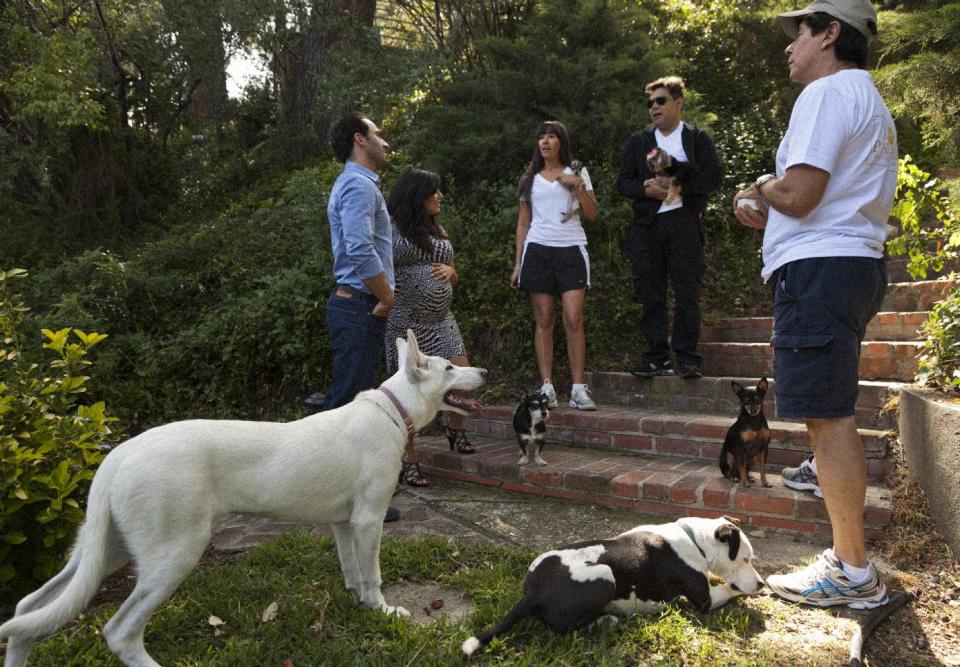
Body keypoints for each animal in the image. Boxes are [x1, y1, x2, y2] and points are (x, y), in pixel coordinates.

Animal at [0, 332, 488, 664]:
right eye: (448, 368)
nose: (484, 372)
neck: (392, 411)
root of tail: (117, 455)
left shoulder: (344, 523)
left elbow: (352, 570)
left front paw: (360, 605)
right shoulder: (369, 519)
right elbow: (374, 575)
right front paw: (383, 610)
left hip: (105, 551)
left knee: (27, 613)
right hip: (174, 554)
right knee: (119, 632)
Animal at [462, 516, 760, 656]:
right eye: (745, 558)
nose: (758, 583)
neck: (693, 539)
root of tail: (531, 593)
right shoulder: (705, 599)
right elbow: (733, 588)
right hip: (605, 576)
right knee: (563, 630)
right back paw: (604, 621)